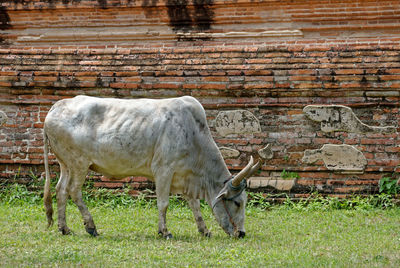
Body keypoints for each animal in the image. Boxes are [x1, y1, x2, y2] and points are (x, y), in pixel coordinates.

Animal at [43, 95, 262, 238]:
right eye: (237, 203)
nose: (241, 233)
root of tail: (56, 107)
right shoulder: (164, 170)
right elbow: (163, 203)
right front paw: (164, 231)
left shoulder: (184, 175)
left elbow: (195, 205)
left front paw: (204, 230)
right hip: (79, 164)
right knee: (74, 191)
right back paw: (91, 227)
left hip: (66, 165)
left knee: (61, 190)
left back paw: (64, 228)